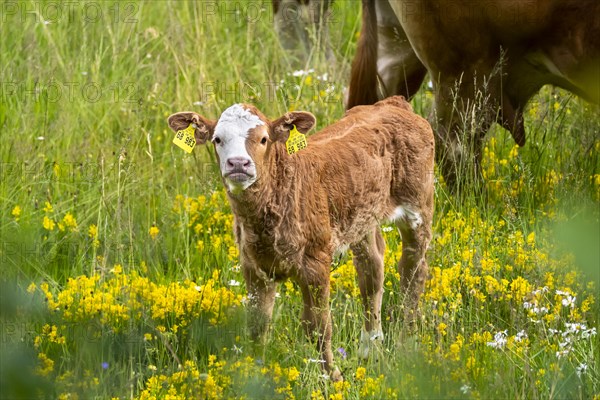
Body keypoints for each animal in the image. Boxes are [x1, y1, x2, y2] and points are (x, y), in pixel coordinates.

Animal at [166, 95, 434, 380]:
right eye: (218, 139)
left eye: (263, 139)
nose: (238, 163)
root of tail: (393, 103)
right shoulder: (252, 266)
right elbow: (258, 326)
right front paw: (256, 375)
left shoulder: (316, 262)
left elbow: (318, 326)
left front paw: (332, 378)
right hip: (362, 217)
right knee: (371, 271)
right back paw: (370, 348)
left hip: (419, 205)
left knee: (413, 270)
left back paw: (406, 343)